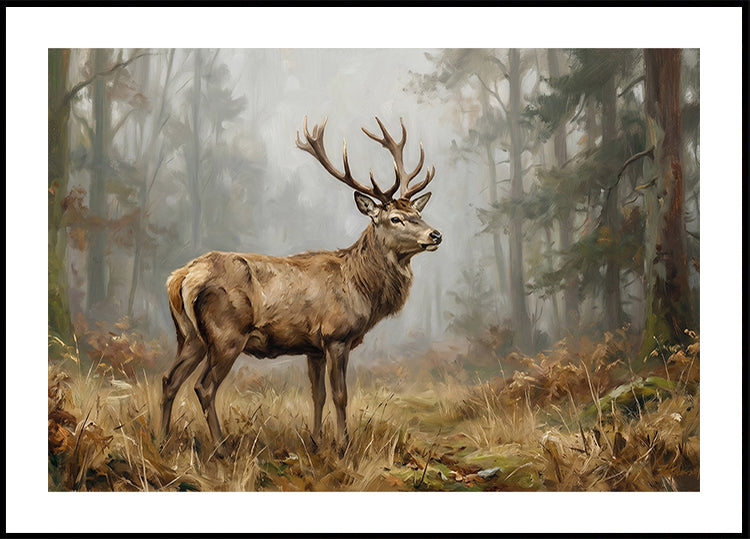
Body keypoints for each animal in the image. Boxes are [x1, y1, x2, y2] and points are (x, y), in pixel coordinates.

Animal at [160, 116, 441, 456]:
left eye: (418, 213)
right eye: (396, 218)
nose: (435, 235)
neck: (360, 287)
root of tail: (181, 278)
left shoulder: (313, 347)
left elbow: (316, 395)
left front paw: (316, 443)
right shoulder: (336, 336)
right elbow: (340, 395)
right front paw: (343, 446)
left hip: (189, 336)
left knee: (169, 379)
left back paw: (160, 441)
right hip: (226, 334)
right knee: (204, 386)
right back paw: (221, 448)